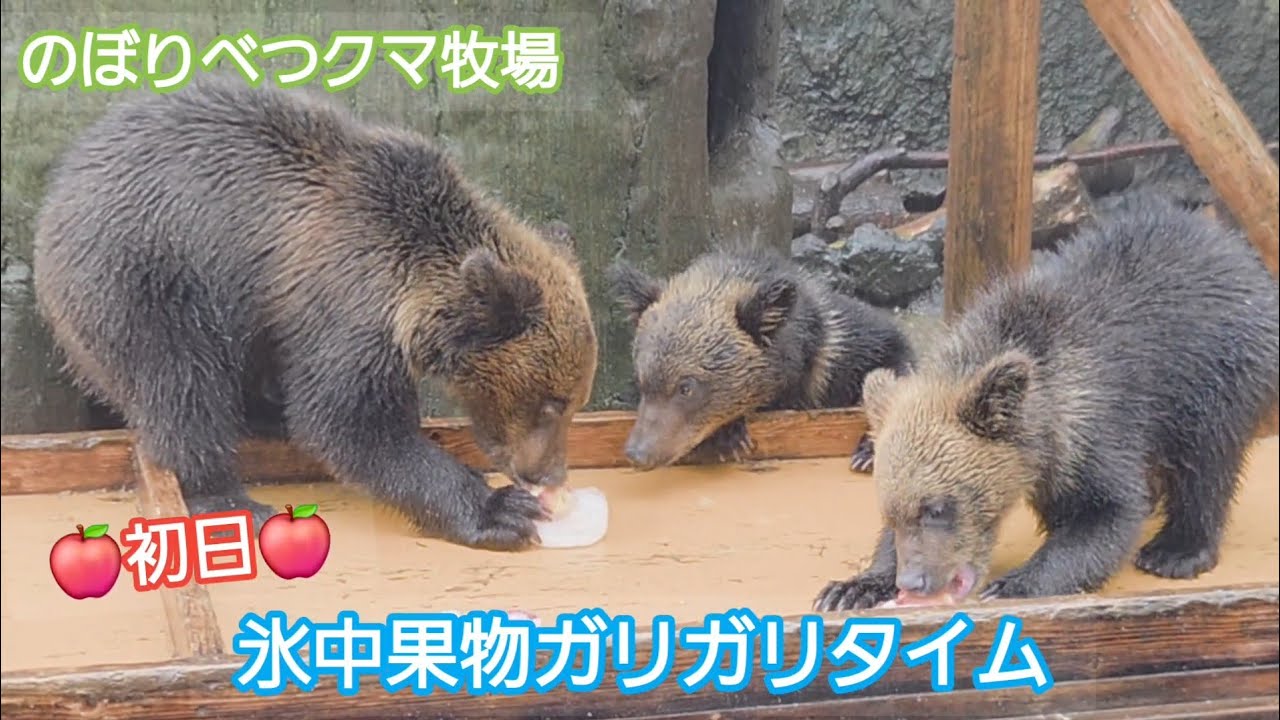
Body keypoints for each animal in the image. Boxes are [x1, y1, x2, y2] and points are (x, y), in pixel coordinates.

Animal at [32, 74, 598, 552]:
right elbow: (349, 422)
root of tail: (54, 199)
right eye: (552, 402)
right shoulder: (348, 305)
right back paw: (229, 500)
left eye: (573, 400)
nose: (548, 476)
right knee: (180, 384)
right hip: (145, 277)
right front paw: (499, 510)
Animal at [607, 244, 915, 472]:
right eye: (640, 380)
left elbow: (892, 361)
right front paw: (729, 435)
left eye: (686, 387)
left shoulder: (848, 347)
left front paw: (868, 449)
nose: (637, 453)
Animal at [813, 191, 1280, 611]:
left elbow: (1107, 512)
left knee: (1208, 460)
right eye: (891, 511)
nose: (914, 580)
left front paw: (1015, 583)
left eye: (939, 507)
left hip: (1215, 371)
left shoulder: (1095, 421)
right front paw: (851, 587)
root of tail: (1232, 249)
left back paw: (1176, 550)